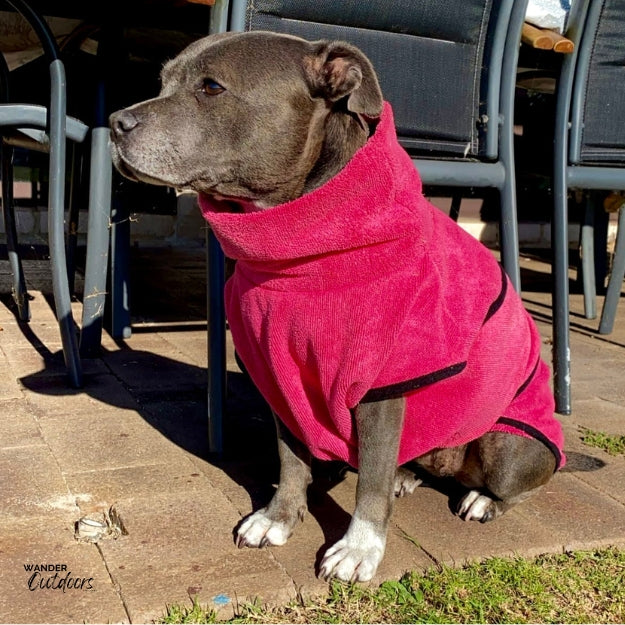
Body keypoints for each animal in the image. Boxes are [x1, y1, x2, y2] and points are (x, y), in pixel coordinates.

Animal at [111, 31, 564, 584]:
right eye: (161, 81)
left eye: (212, 87)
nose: (115, 122)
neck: (296, 252)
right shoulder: (280, 376)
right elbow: (290, 459)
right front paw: (278, 517)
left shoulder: (382, 386)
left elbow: (369, 479)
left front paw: (359, 547)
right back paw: (408, 475)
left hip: (508, 447)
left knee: (517, 485)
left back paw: (481, 499)